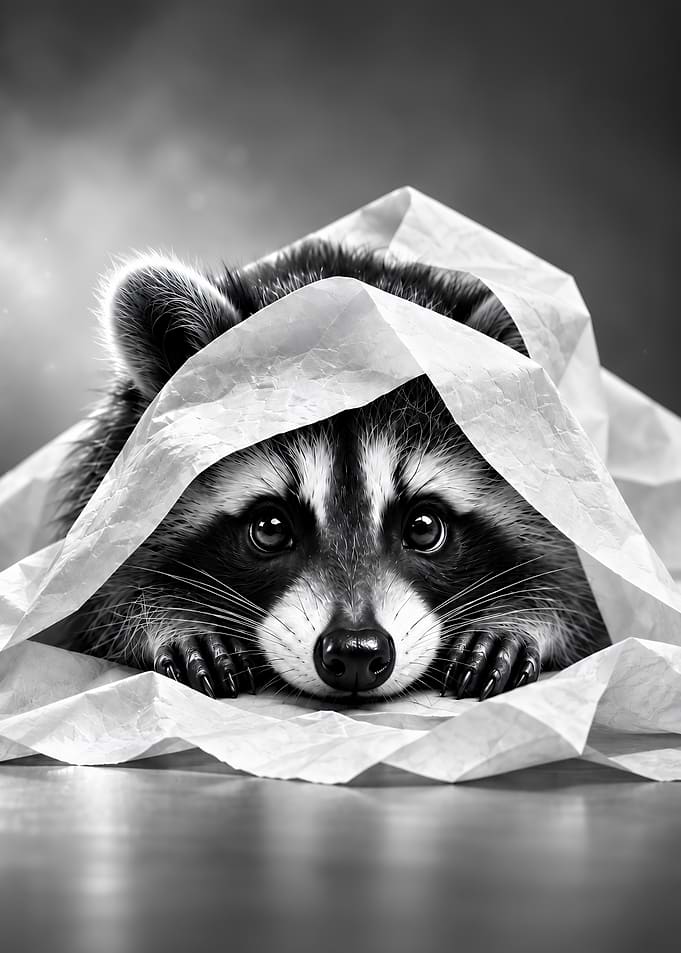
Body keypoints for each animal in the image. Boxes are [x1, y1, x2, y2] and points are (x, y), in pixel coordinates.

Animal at [55, 242, 609, 702]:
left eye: (424, 527)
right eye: (269, 527)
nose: (357, 652)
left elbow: (581, 594)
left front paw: (523, 616)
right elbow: (97, 597)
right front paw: (165, 616)